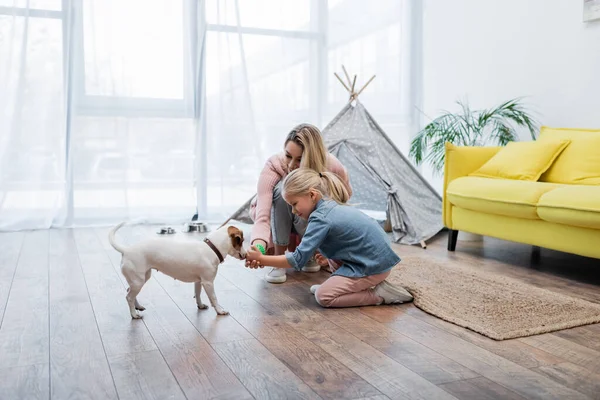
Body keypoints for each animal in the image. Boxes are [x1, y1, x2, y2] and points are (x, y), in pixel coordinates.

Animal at [108, 222, 246, 318]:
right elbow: (214, 298)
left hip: (142, 278)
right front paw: (220, 311)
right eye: (242, 241)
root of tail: (126, 250)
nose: (245, 255)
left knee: (129, 291)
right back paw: (134, 315)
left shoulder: (199, 281)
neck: (211, 248)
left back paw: (138, 307)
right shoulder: (208, 282)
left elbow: (198, 294)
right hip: (138, 281)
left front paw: (200, 305)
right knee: (129, 297)